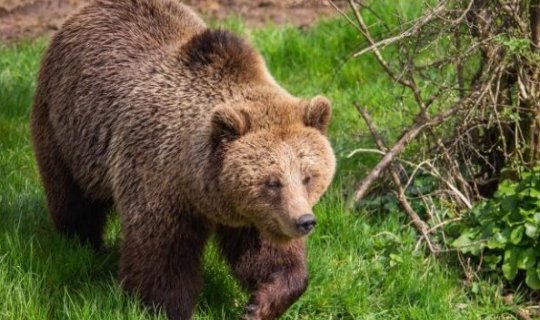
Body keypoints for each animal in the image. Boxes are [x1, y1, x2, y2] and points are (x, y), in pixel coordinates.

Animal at [29, 0, 336, 320]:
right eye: (272, 181)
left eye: (308, 176)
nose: (304, 221)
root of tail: (84, 11)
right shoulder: (157, 177)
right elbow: (162, 257)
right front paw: (167, 306)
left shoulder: (252, 213)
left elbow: (266, 252)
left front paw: (260, 303)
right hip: (65, 129)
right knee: (72, 199)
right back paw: (82, 245)